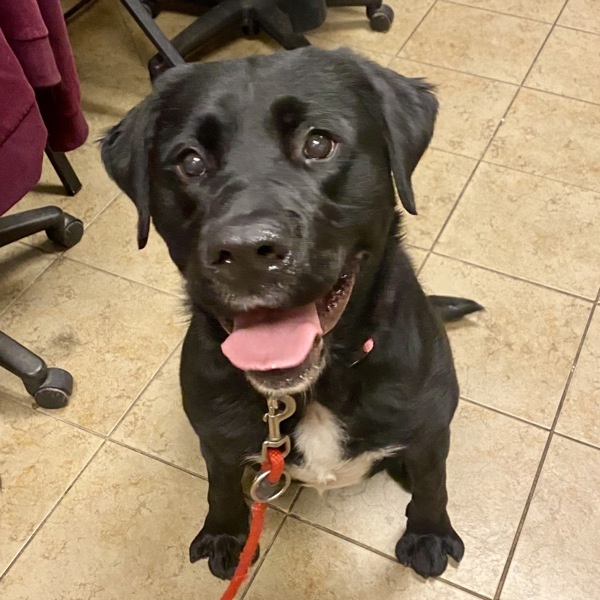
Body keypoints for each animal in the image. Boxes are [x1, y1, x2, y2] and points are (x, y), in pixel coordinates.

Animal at [101, 45, 480, 580]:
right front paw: (226, 533)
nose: (244, 252)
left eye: (318, 143)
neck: (316, 387)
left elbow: (432, 479)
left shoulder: (429, 426)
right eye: (190, 161)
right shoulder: (217, 437)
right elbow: (220, 484)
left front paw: (429, 533)